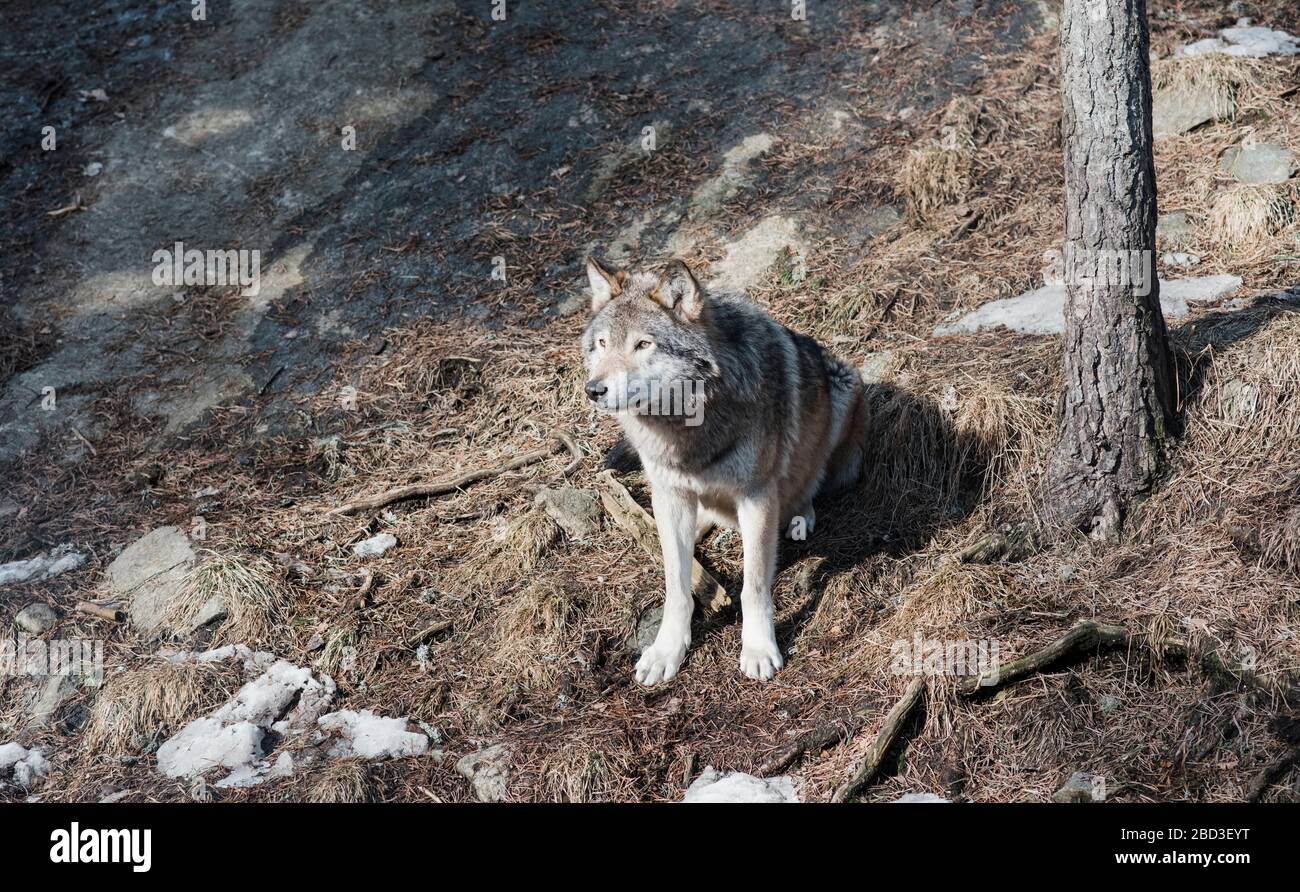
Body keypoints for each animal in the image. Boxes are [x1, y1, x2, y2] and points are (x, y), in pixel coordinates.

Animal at [581, 256, 868, 685]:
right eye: (602, 344)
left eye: (643, 344)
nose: (593, 389)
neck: (688, 427)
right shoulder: (671, 493)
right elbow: (677, 586)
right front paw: (666, 651)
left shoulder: (757, 496)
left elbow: (754, 586)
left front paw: (759, 649)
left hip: (844, 387)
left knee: (810, 483)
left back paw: (799, 516)